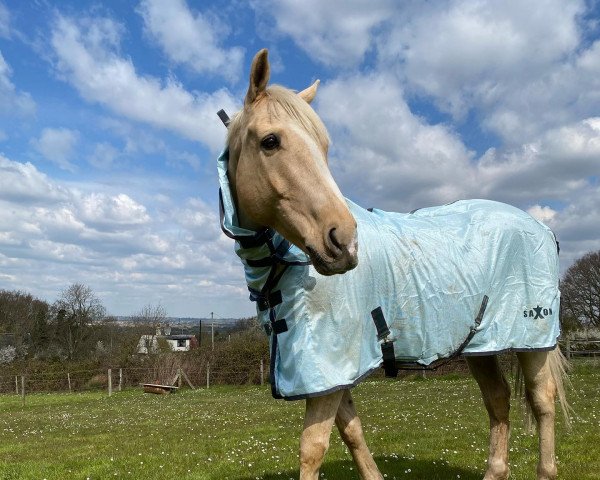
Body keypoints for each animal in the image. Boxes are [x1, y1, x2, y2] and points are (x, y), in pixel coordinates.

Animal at [218, 49, 568, 480]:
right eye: (270, 141)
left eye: (324, 146)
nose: (345, 242)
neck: (285, 269)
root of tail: (540, 227)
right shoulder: (332, 373)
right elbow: (352, 432)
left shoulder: (328, 368)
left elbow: (312, 448)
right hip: (482, 345)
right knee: (498, 400)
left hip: (533, 340)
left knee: (542, 402)